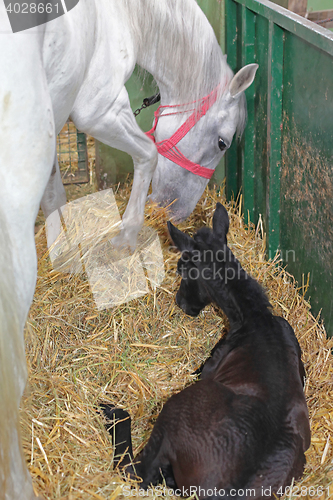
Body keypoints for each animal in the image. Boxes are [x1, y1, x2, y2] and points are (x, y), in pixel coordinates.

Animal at [0, 1, 256, 498]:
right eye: (221, 142)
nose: (177, 210)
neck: (118, 14)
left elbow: (56, 193)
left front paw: (66, 253)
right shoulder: (97, 110)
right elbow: (148, 154)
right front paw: (125, 235)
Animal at [102, 204, 310, 500]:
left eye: (182, 268)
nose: (181, 303)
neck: (255, 317)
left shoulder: (210, 365)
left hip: (173, 413)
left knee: (136, 472)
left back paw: (111, 411)